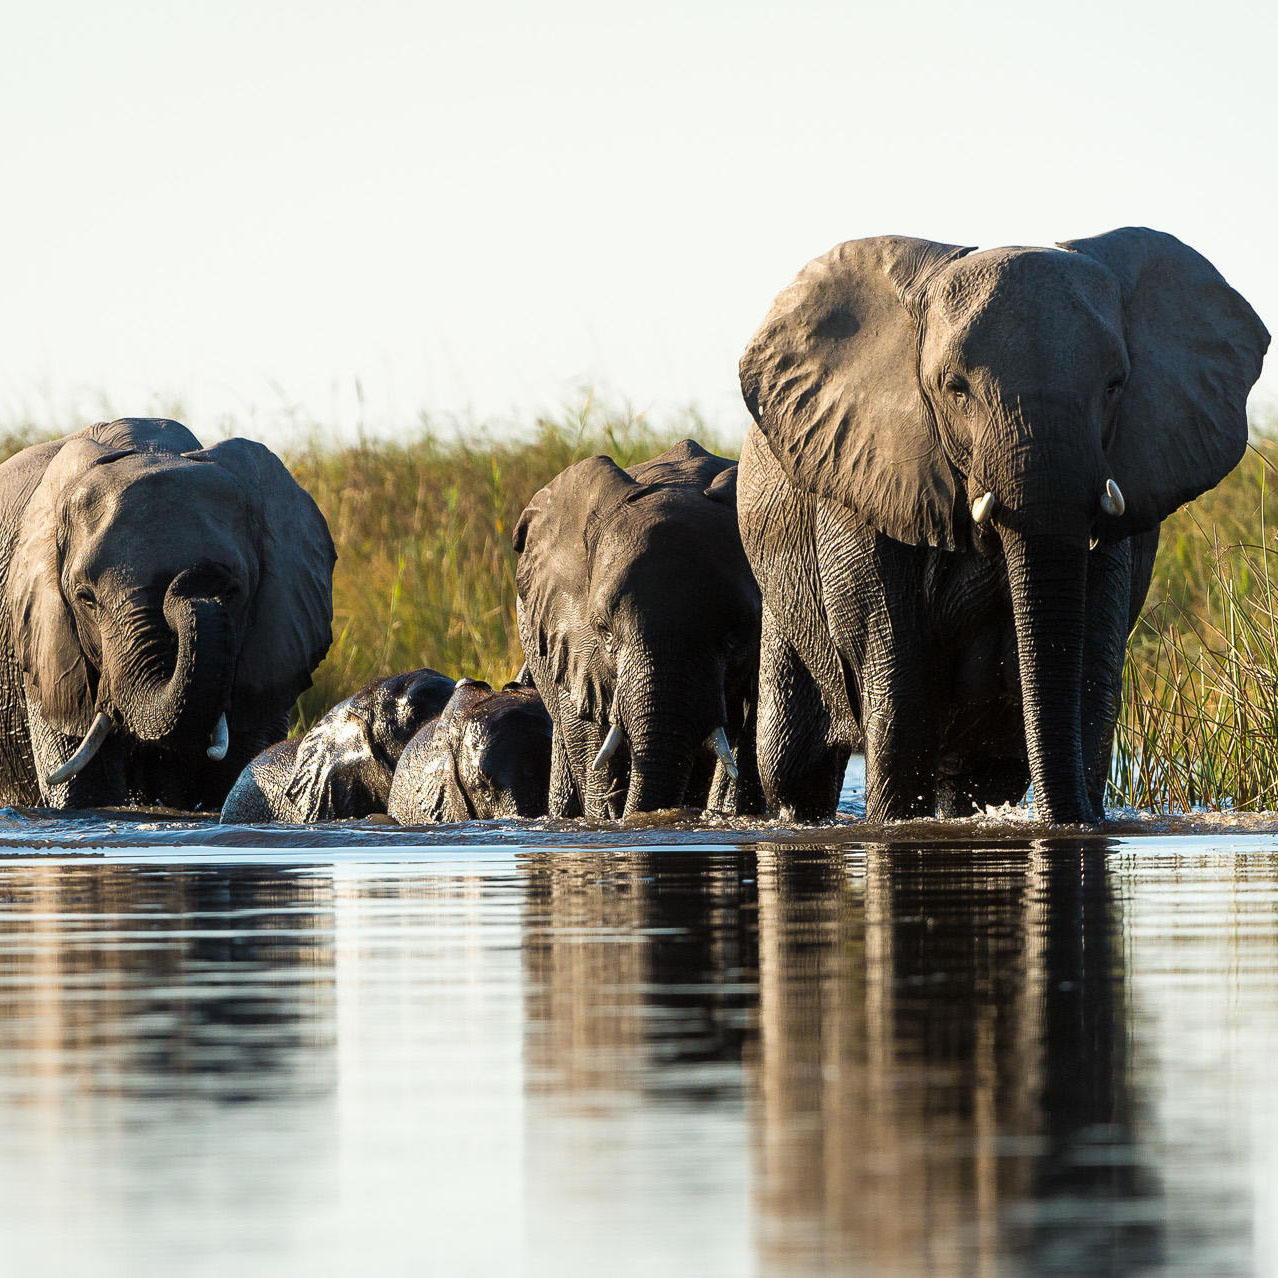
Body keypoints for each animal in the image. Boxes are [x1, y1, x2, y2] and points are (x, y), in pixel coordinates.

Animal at [741, 227, 1267, 828]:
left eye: (1116, 385)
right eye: (955, 388)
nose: (1069, 820)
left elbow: (1091, 663)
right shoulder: (863, 477)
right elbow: (897, 678)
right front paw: (892, 825)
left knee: (979, 771)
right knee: (791, 766)